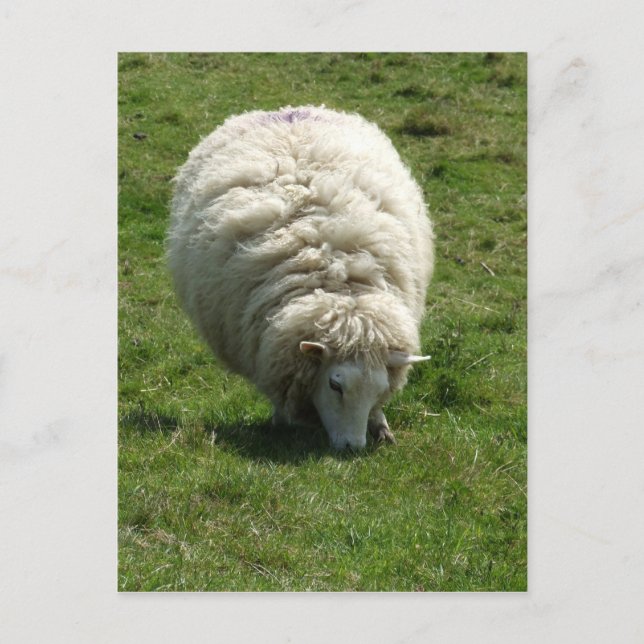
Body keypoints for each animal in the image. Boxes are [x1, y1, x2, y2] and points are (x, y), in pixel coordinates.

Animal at [168, 105, 434, 450]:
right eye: (335, 386)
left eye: (378, 389)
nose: (352, 447)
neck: (340, 286)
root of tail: (286, 111)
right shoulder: (270, 350)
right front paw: (282, 423)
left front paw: (381, 426)